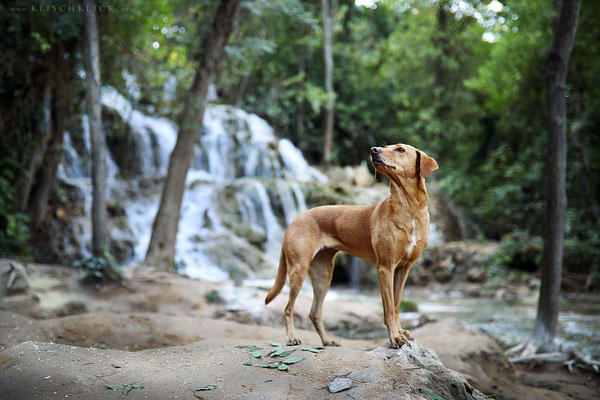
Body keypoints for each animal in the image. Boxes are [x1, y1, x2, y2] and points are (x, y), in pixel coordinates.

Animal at [264, 143, 438, 346]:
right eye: (386, 147)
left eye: (400, 149)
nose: (373, 149)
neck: (408, 207)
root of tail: (293, 221)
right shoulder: (385, 268)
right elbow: (388, 309)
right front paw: (395, 337)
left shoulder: (404, 269)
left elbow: (395, 306)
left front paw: (400, 332)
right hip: (298, 269)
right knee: (288, 309)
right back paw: (292, 338)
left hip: (323, 275)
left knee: (314, 313)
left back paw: (327, 341)